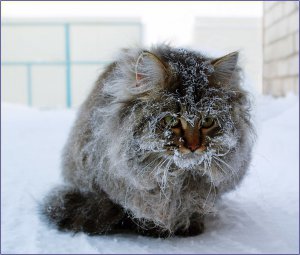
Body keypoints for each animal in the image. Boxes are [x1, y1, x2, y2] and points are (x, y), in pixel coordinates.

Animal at [41, 43, 254, 237]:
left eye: (208, 121)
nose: (193, 146)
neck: (177, 180)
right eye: (171, 120)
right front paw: (153, 229)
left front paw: (190, 224)